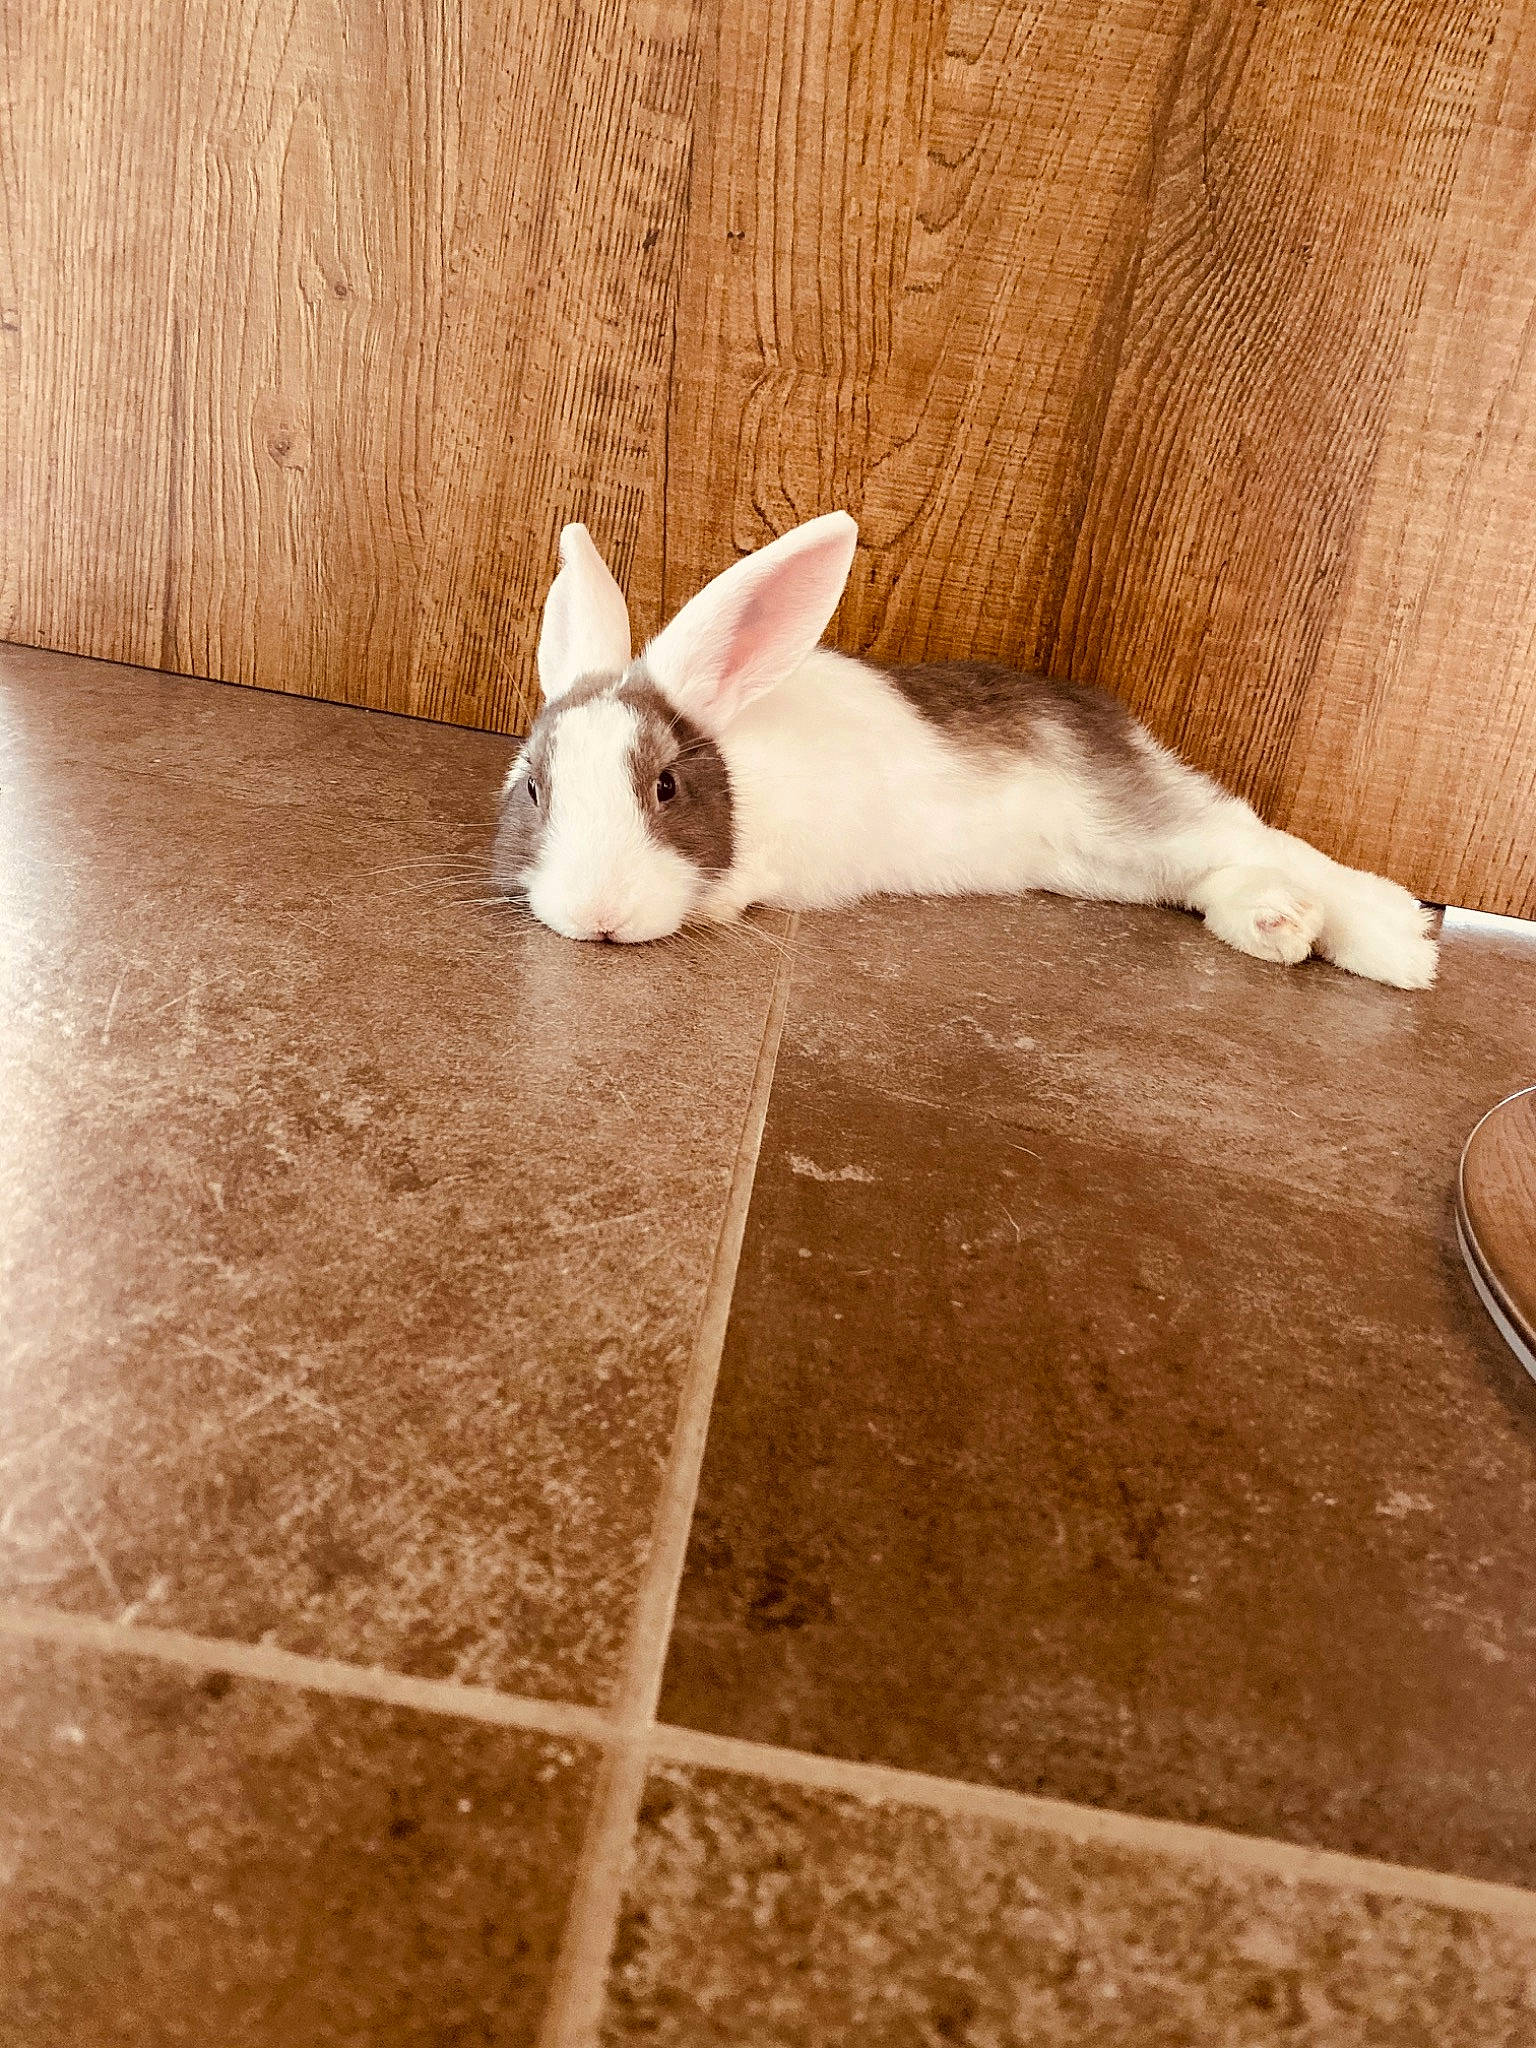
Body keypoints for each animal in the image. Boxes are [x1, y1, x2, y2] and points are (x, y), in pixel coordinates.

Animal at [491, 511, 1438, 988]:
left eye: (665, 788)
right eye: (535, 790)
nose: (598, 917)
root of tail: (1105, 714)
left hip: (1127, 815)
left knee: (1261, 837)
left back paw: (1401, 944)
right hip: (1101, 862)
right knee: (1215, 871)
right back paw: (1281, 925)